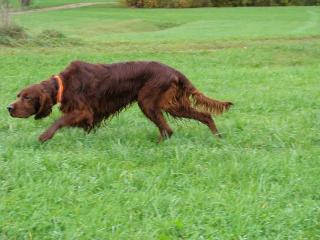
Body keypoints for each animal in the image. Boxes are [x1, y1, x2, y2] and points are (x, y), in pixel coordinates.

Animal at [7, 60, 232, 142]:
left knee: (168, 129)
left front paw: (44, 136)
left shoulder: (83, 111)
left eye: (27, 97)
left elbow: (60, 121)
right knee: (204, 115)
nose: (9, 107)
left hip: (148, 102)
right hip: (169, 104)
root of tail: (174, 71)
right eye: (18, 95)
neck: (63, 84)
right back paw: (218, 137)